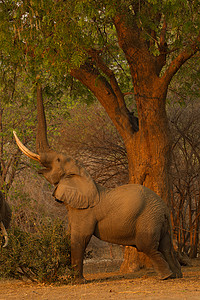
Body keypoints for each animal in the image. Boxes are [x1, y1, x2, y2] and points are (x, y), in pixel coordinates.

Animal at [12, 131, 181, 282]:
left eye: (58, 159)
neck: (83, 175)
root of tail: (165, 209)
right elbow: (70, 234)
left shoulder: (85, 212)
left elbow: (80, 237)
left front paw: (77, 282)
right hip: (160, 220)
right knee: (165, 247)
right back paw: (176, 275)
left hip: (148, 218)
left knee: (147, 246)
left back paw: (165, 277)